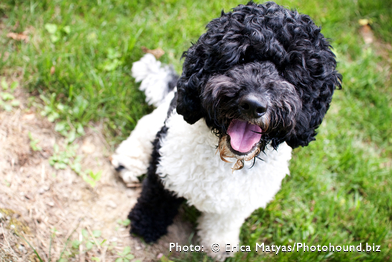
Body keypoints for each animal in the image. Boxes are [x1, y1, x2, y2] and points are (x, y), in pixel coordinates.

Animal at [110, 0, 340, 258]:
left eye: (289, 70)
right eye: (240, 57)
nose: (253, 104)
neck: (227, 160)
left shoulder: (239, 204)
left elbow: (224, 223)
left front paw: (220, 244)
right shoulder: (164, 168)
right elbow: (155, 199)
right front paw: (145, 225)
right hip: (156, 125)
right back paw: (127, 162)